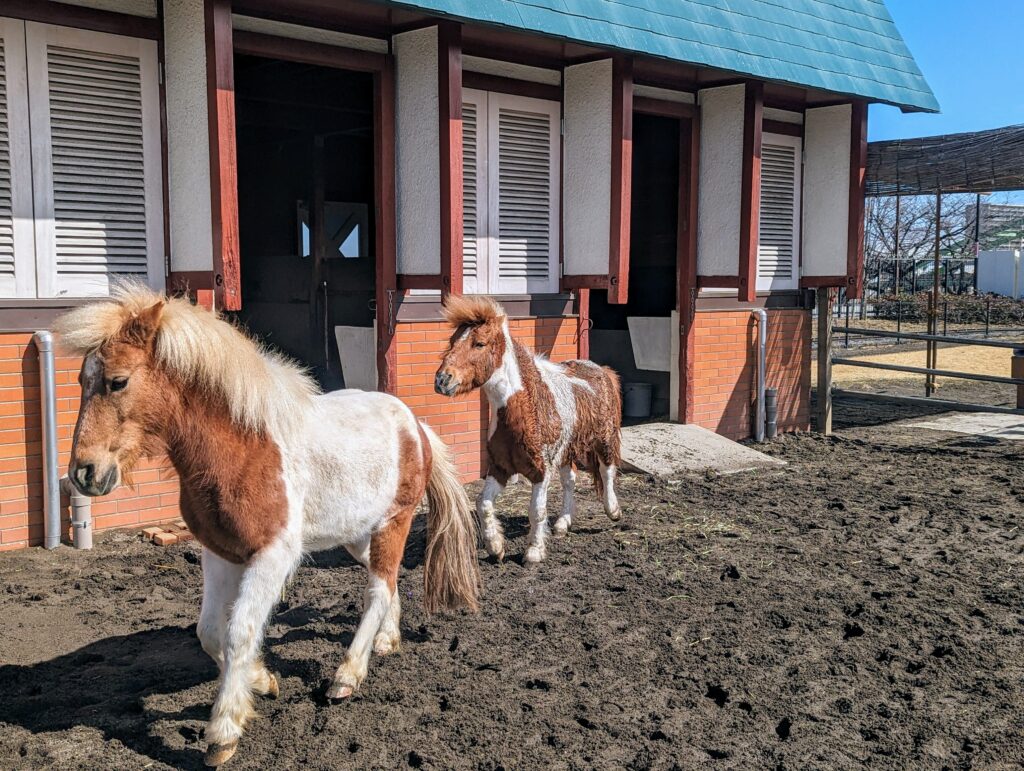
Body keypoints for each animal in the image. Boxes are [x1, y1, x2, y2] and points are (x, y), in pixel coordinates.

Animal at [58, 286, 481, 765]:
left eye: (118, 381)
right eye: (80, 381)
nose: (84, 473)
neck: (243, 449)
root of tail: (416, 426)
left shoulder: (273, 556)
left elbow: (240, 629)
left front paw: (223, 732)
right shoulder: (219, 552)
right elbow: (210, 633)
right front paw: (261, 681)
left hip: (395, 521)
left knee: (377, 590)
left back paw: (347, 676)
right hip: (359, 537)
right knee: (387, 582)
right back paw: (386, 642)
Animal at [434, 294, 622, 561]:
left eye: (479, 344)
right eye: (452, 341)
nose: (442, 380)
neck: (525, 408)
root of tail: (601, 370)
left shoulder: (541, 472)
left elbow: (536, 511)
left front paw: (533, 552)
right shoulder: (499, 469)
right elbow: (482, 504)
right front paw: (495, 546)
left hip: (604, 439)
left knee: (607, 472)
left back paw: (613, 510)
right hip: (566, 452)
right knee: (570, 481)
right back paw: (563, 523)